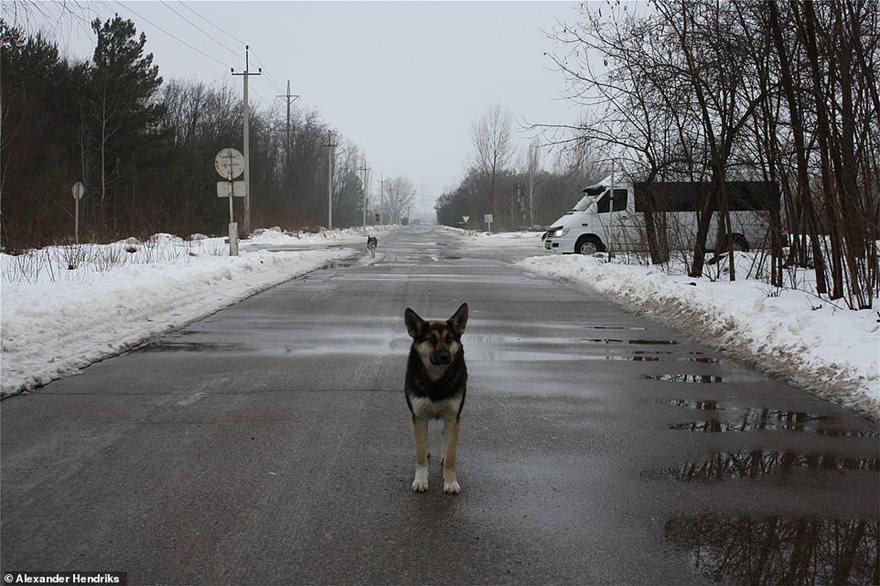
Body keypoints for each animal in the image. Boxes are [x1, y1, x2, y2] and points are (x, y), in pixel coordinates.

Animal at [404, 302, 468, 492]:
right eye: (431, 340)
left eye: (449, 339)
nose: (445, 356)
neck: (436, 381)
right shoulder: (419, 417)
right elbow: (420, 455)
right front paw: (420, 481)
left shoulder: (453, 417)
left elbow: (451, 455)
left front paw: (450, 482)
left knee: (444, 436)